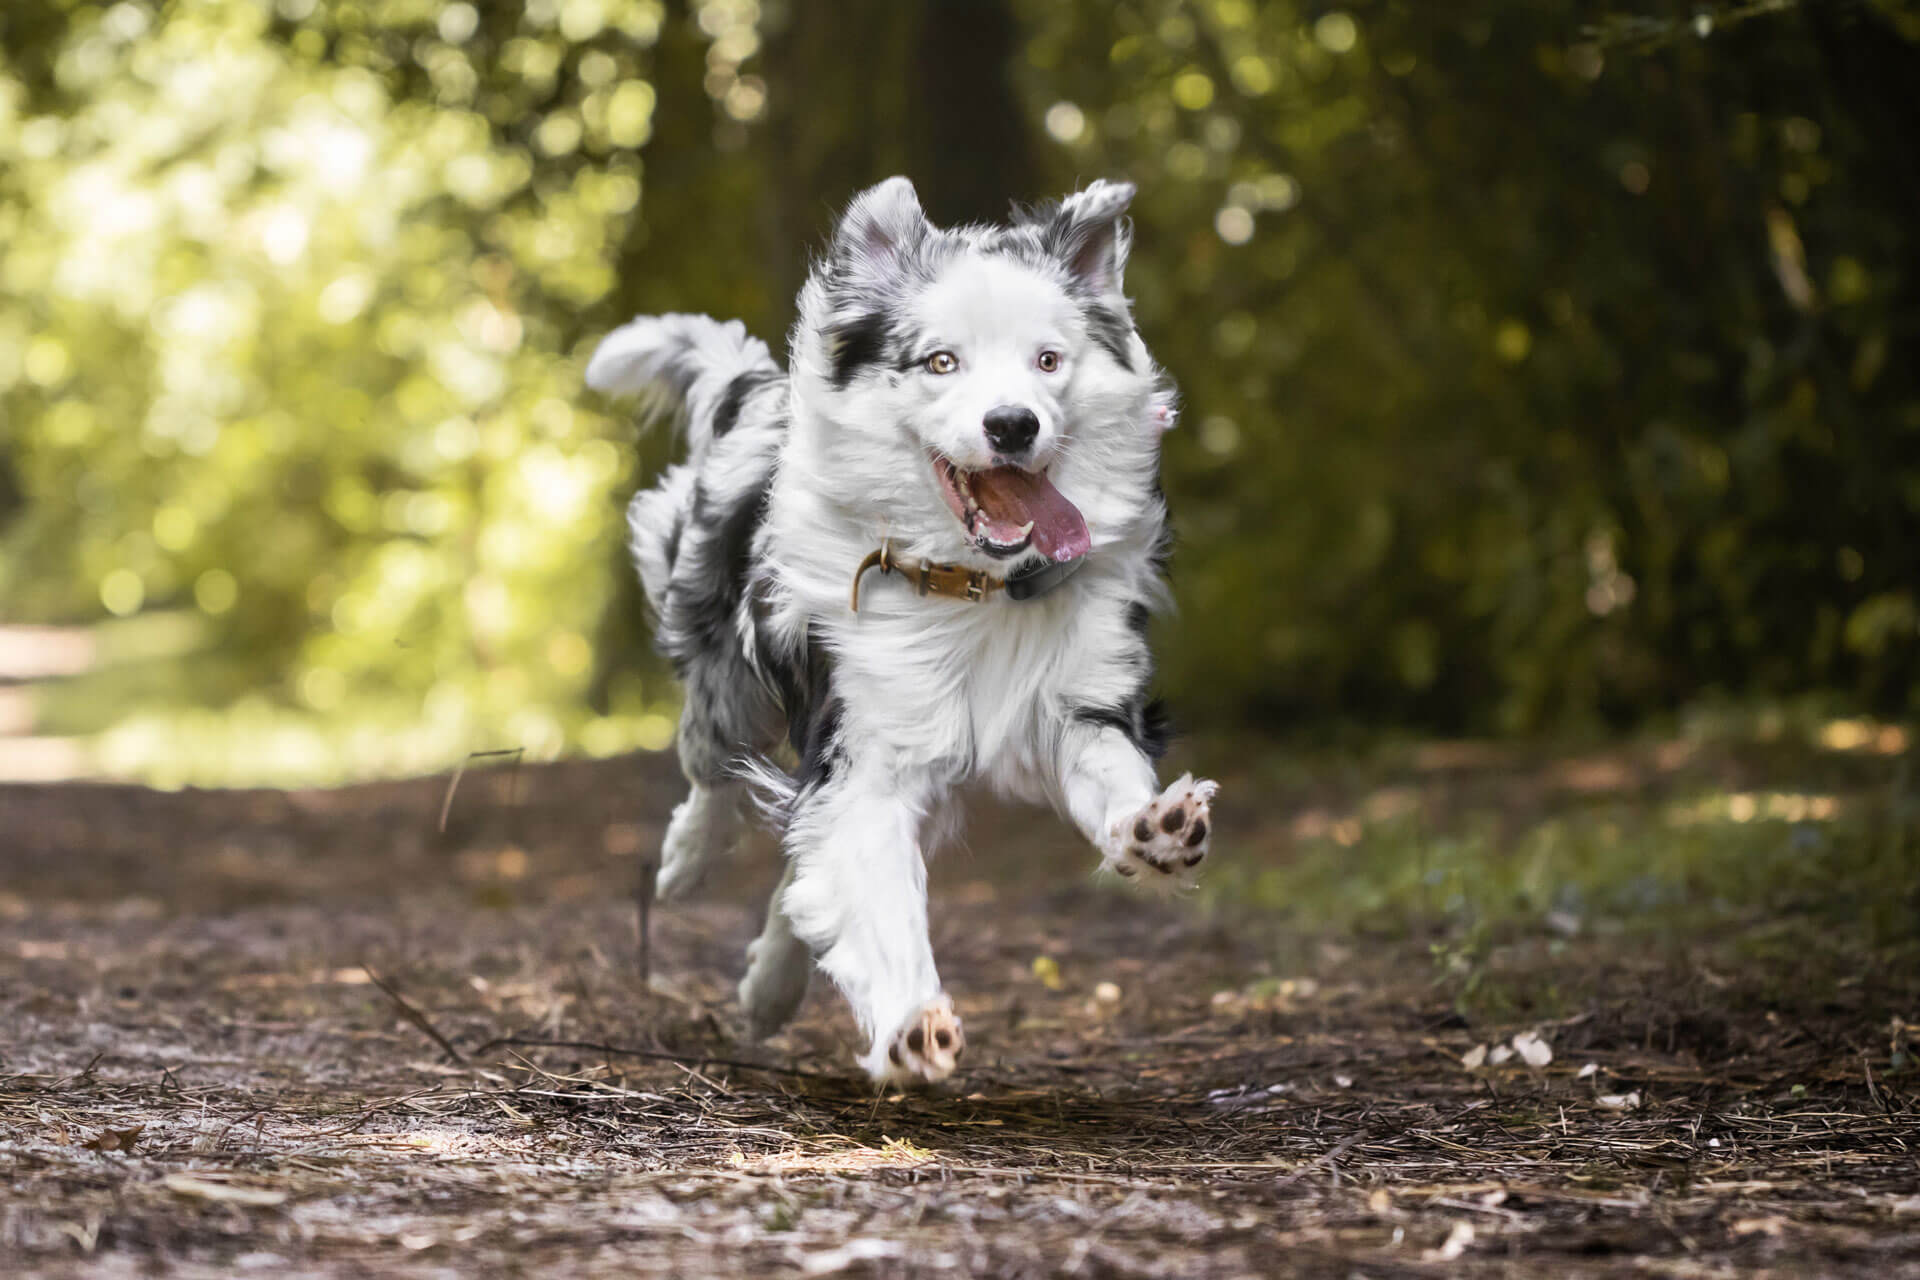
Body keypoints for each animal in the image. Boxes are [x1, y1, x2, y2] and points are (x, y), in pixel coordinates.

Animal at [583, 177, 1213, 1082]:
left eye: (1048, 360)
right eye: (941, 361)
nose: (1013, 424)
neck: (973, 586)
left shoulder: (1077, 702)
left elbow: (1110, 775)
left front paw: (1156, 831)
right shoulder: (868, 750)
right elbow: (874, 898)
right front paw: (912, 1021)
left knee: (797, 866)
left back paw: (770, 987)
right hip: (721, 661)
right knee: (713, 767)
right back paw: (686, 864)